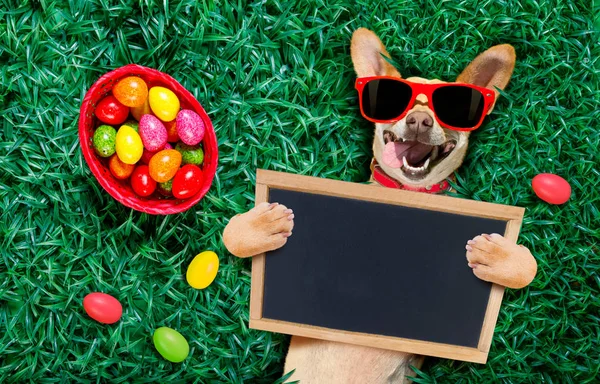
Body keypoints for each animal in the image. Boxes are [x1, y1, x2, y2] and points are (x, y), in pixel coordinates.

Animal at [221, 27, 540, 384]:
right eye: (396, 104)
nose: (419, 120)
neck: (410, 192)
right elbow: (232, 234)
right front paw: (263, 225)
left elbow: (527, 266)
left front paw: (498, 256)